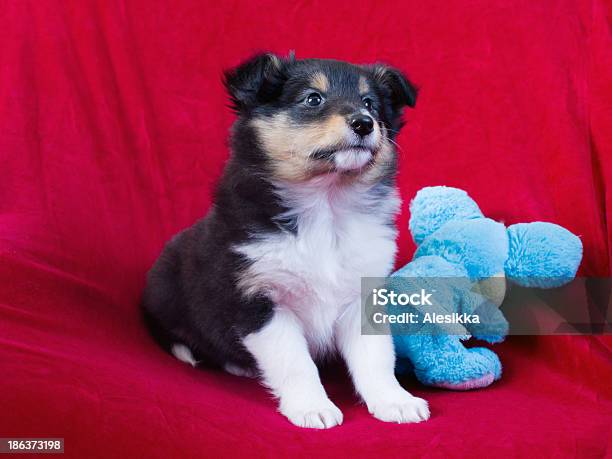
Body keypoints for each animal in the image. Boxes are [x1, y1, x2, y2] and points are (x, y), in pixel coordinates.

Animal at [143, 54, 430, 432]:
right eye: (313, 99)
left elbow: (376, 357)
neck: (326, 204)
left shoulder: (363, 296)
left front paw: (396, 401)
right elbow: (295, 362)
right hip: (164, 285)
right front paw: (313, 408)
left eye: (370, 103)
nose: (364, 123)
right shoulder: (259, 300)